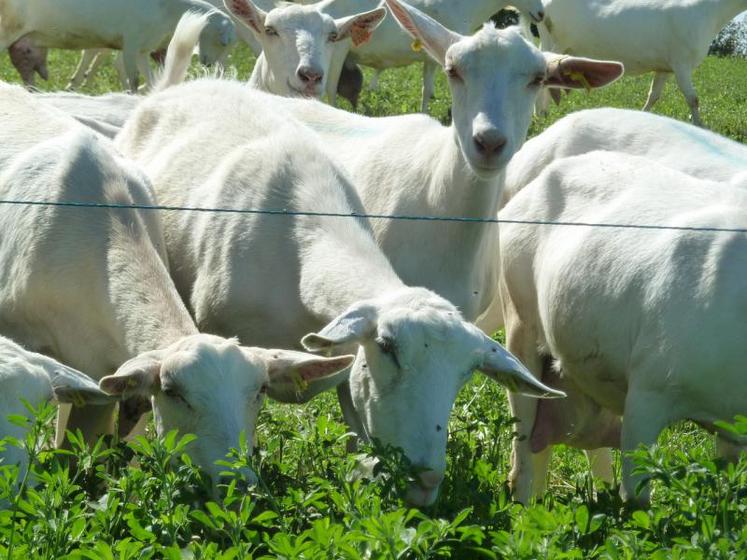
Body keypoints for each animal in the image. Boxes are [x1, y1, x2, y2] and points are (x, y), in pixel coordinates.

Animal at [0, 0, 235, 91]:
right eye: (222, 42)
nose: (209, 65)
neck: (167, 10)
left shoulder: (142, 50)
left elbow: (150, 80)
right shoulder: (131, 45)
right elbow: (133, 80)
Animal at [532, 0, 747, 124]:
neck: (709, 11)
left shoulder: (665, 67)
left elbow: (653, 96)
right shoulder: (681, 63)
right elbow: (693, 99)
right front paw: (699, 126)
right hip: (555, 42)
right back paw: (540, 115)